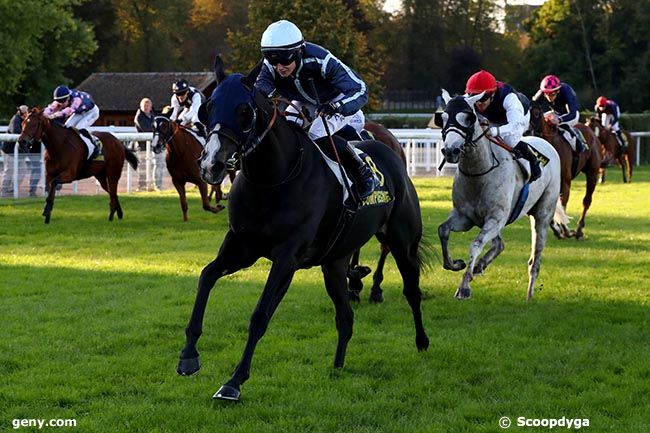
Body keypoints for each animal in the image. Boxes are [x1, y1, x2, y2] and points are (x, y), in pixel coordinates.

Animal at [436, 92, 568, 300]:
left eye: (468, 118)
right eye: (442, 118)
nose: (450, 150)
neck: (479, 172)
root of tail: (548, 145)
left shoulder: (495, 218)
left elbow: (475, 244)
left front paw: (464, 286)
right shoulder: (464, 217)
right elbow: (443, 230)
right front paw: (456, 264)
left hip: (542, 214)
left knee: (534, 260)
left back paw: (529, 295)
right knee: (499, 244)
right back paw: (480, 265)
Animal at [528, 103, 600, 241]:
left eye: (537, 113)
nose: (528, 132)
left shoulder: (565, 182)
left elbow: (563, 204)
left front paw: (565, 230)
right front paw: (558, 230)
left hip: (592, 172)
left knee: (587, 200)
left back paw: (579, 230)